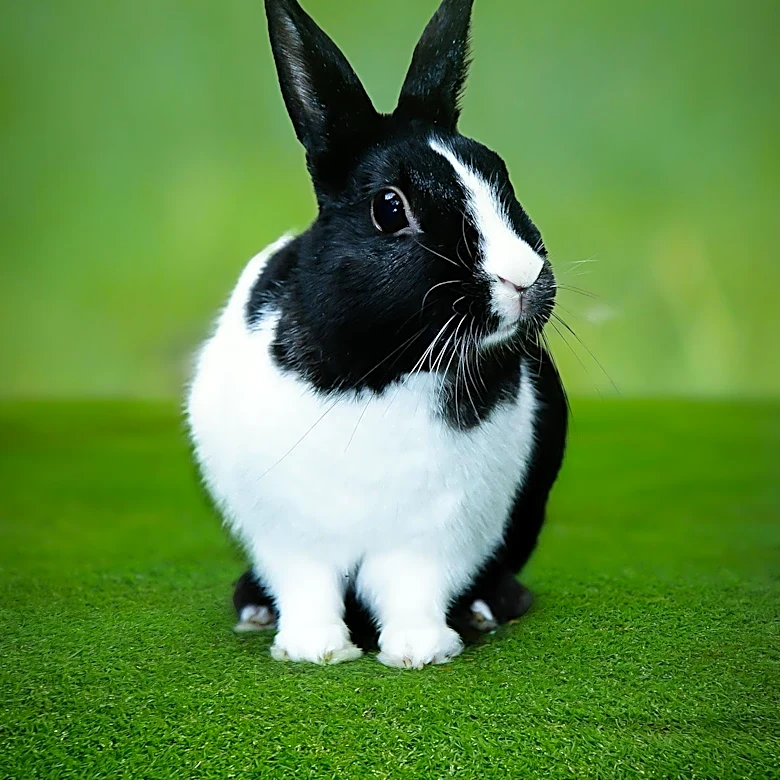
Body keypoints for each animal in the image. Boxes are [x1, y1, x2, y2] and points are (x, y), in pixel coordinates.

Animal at [187, 0, 568, 669]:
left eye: (501, 175)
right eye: (390, 208)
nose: (523, 277)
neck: (384, 369)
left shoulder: (434, 538)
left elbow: (414, 589)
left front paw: (419, 651)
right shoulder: (292, 537)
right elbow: (307, 588)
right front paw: (315, 650)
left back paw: (485, 609)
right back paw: (255, 610)